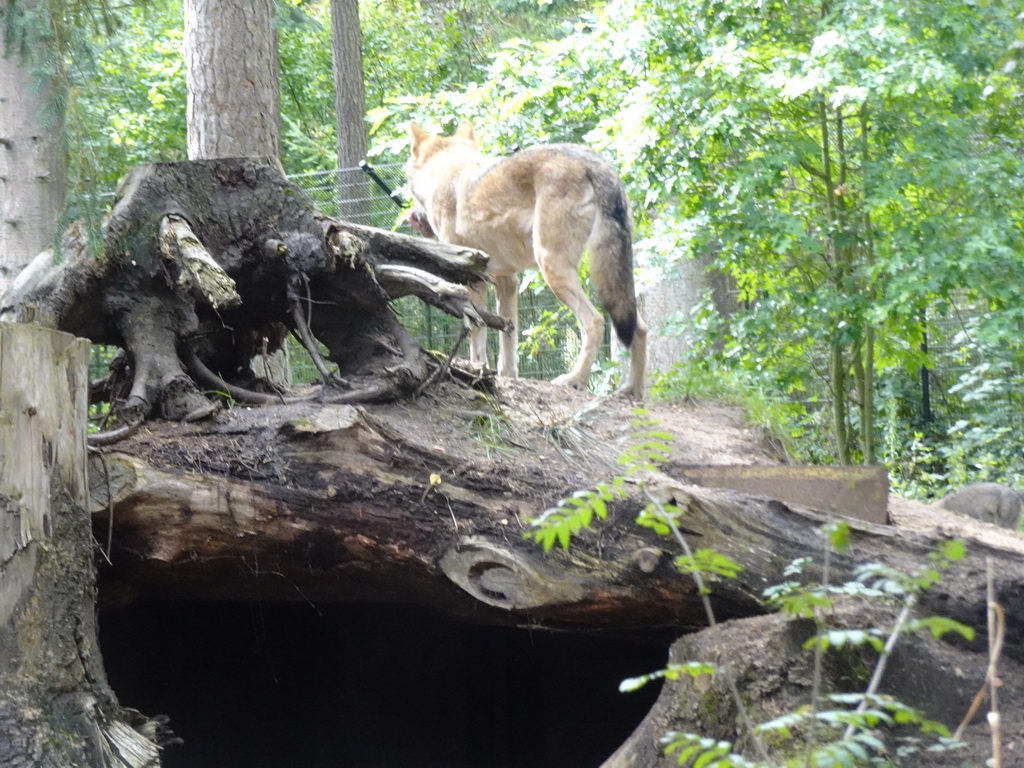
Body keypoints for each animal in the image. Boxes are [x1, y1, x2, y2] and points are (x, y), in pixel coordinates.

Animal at [401, 121, 647, 397]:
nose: (412, 216)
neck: (446, 170)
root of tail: (596, 162)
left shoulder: (473, 279)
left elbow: (477, 330)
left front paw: (477, 369)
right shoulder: (507, 280)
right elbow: (509, 335)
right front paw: (507, 376)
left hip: (552, 267)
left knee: (594, 321)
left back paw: (575, 380)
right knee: (639, 328)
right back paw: (632, 391)